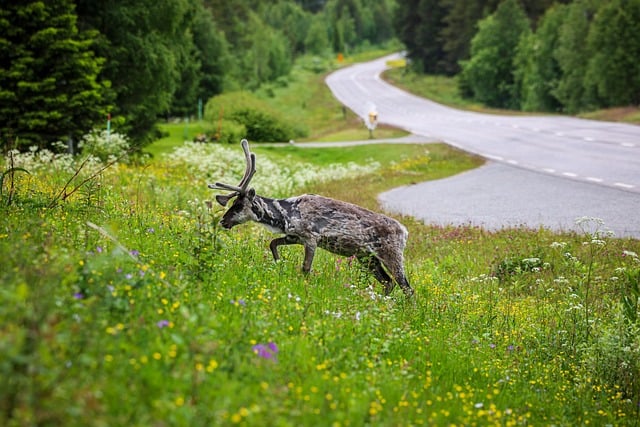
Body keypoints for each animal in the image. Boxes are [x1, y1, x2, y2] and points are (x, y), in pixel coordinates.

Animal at [208, 139, 414, 297]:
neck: (285, 215)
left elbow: (305, 268)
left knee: (406, 287)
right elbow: (273, 243)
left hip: (391, 254)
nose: (224, 221)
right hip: (367, 258)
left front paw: (304, 288)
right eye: (232, 202)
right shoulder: (294, 236)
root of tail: (405, 232)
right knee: (388, 282)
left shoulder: (311, 238)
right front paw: (279, 264)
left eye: (239, 205)